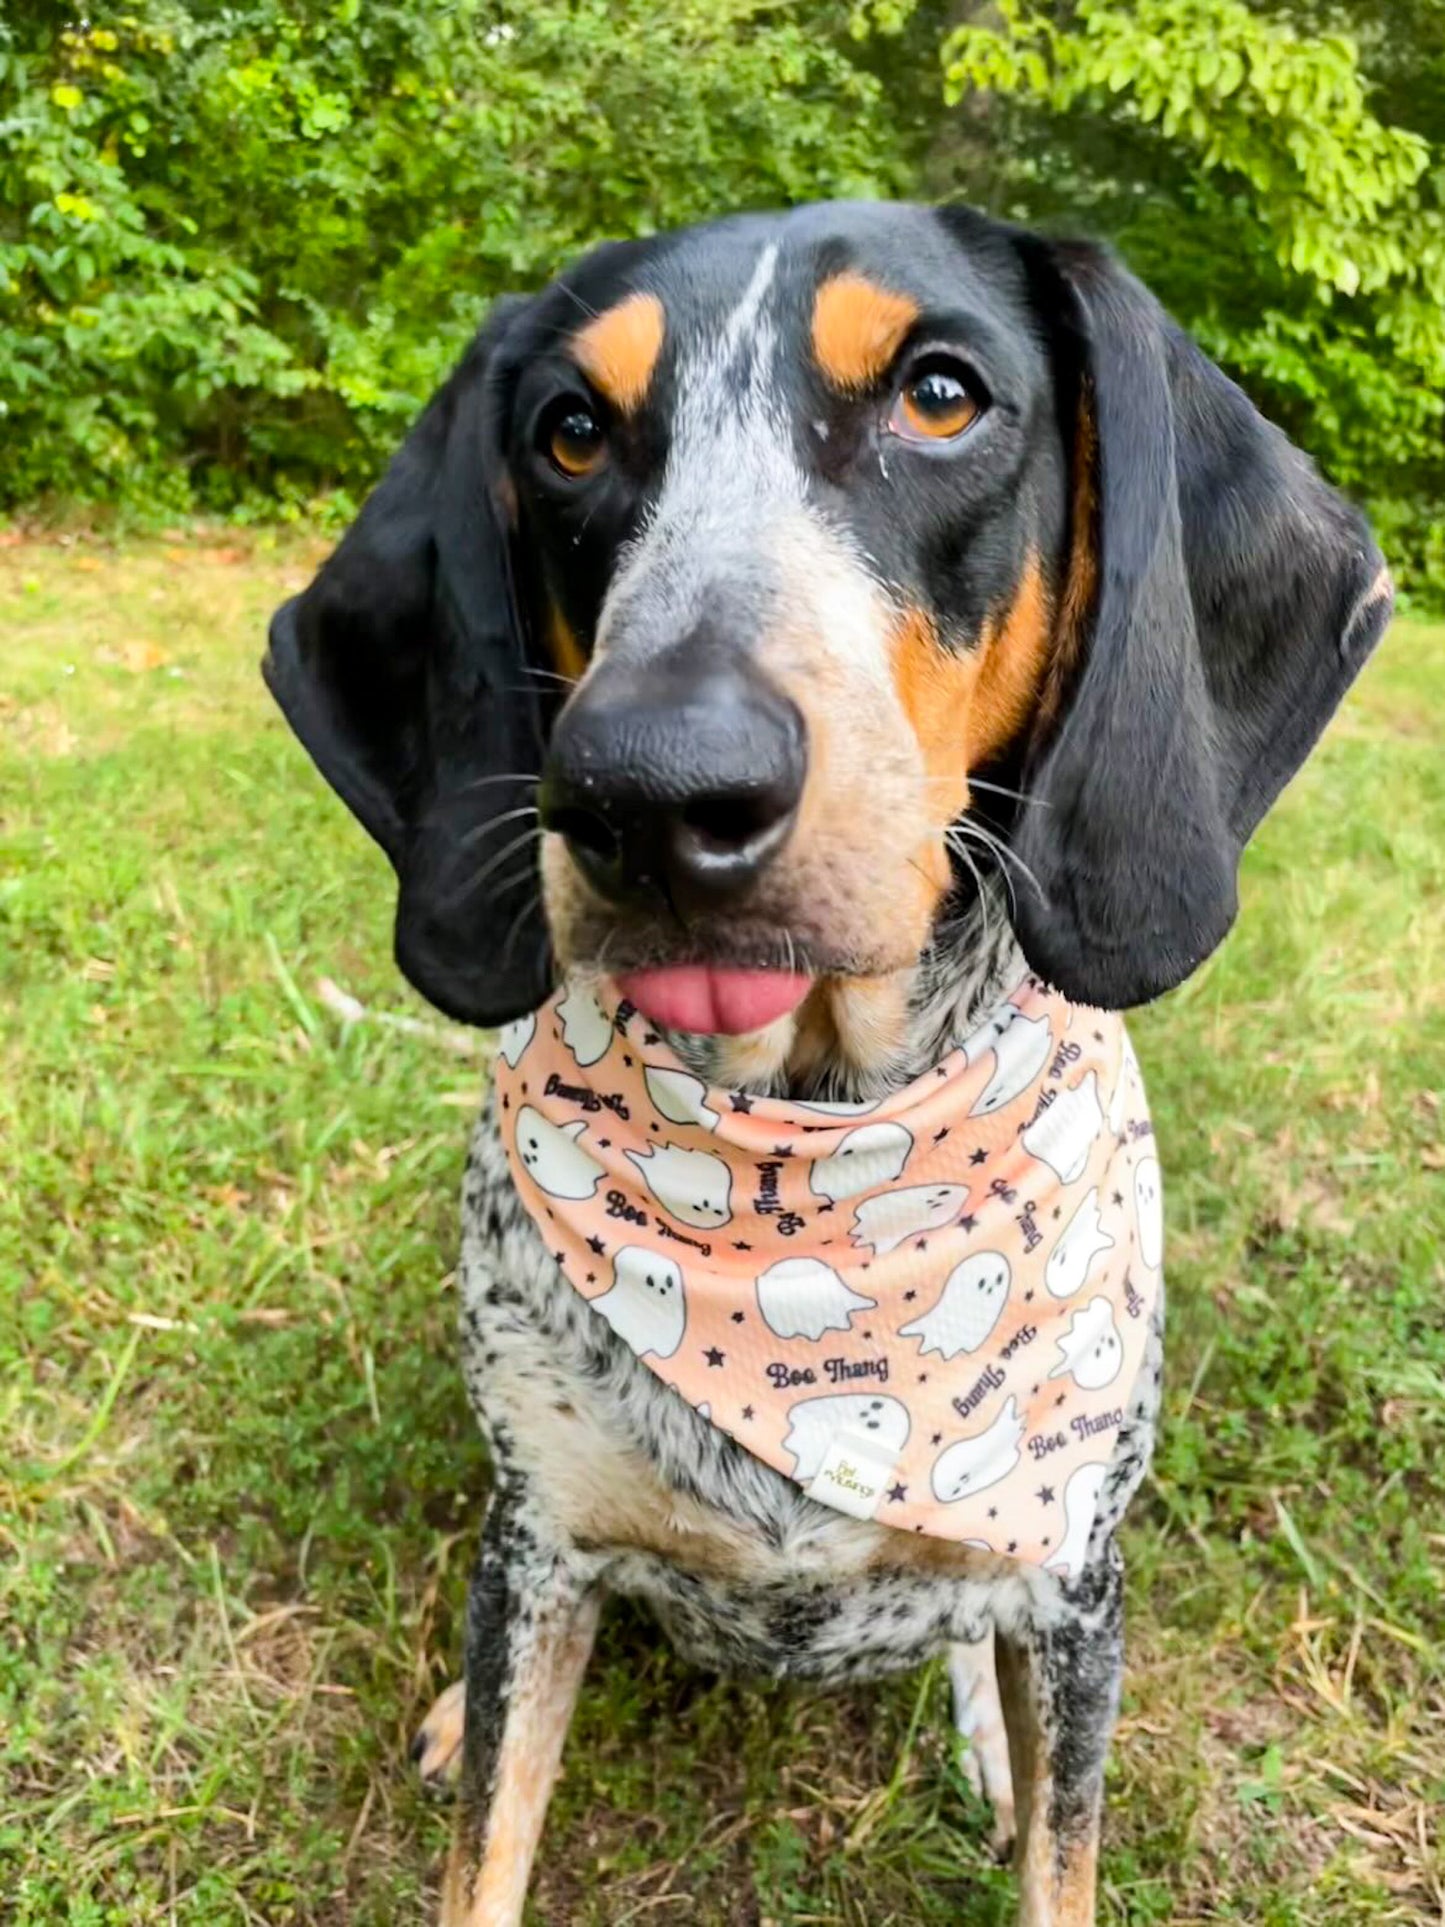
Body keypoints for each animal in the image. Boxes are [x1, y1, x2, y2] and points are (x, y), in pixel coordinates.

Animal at [260, 203, 1394, 1919]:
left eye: (940, 395)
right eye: (569, 432)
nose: (649, 788)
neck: (808, 1167)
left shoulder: (1077, 1580)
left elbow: (1060, 1841)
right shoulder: (542, 1545)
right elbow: (487, 1846)